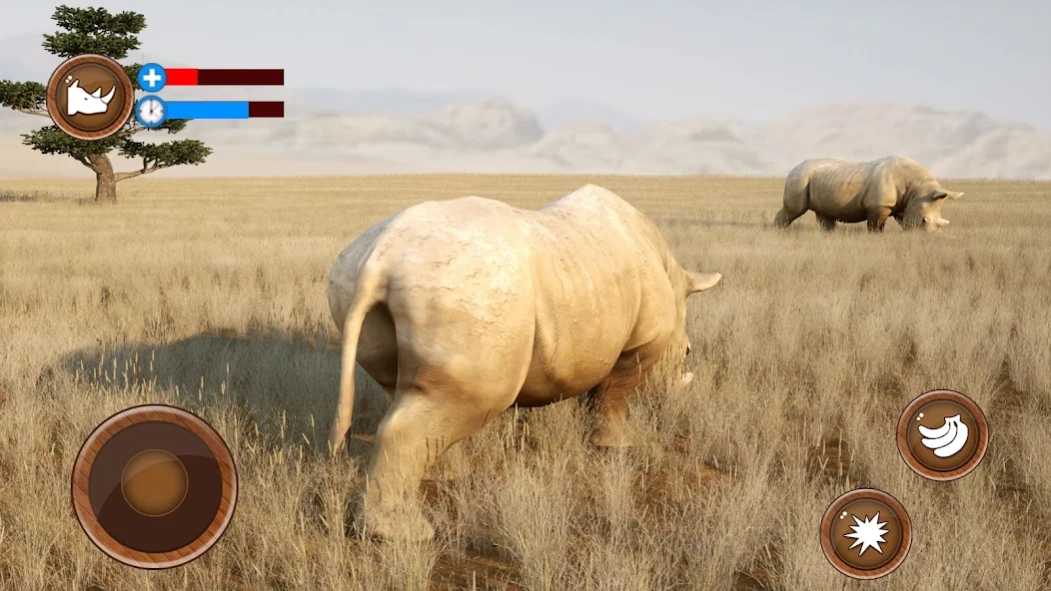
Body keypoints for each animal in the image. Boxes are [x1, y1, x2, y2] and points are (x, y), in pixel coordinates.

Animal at [327, 184, 721, 540]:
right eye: (688, 352)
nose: (679, 391)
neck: (672, 273)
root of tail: (380, 260)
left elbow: (599, 394)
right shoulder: (640, 343)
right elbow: (615, 393)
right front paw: (618, 446)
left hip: (364, 282)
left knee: (413, 396)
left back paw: (446, 475)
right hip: (468, 294)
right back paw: (409, 535)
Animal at [773, 155, 964, 232]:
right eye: (923, 220)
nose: (929, 237)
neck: (918, 190)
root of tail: (793, 167)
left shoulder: (904, 204)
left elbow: (903, 220)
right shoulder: (879, 205)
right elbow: (876, 225)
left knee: (824, 214)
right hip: (799, 178)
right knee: (794, 210)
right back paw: (778, 230)